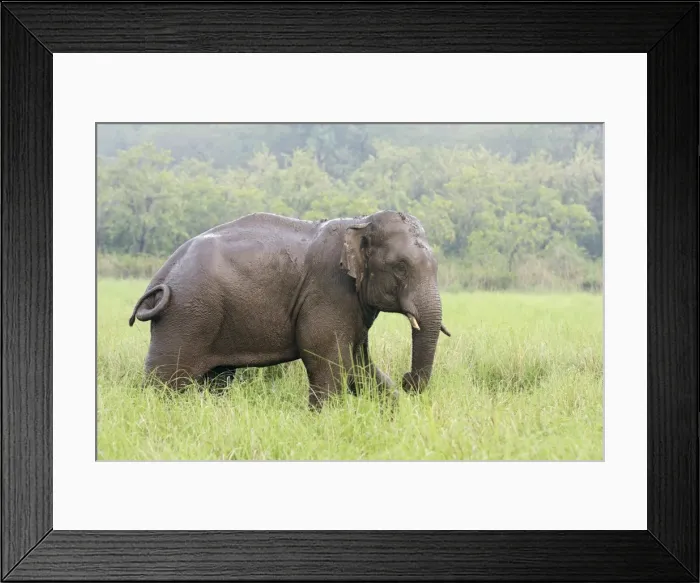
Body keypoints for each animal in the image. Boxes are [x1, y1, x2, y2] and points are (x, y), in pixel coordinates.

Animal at [128, 210, 450, 409]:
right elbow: (326, 356)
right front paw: (325, 421)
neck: (361, 220)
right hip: (187, 313)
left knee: (217, 378)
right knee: (165, 378)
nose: (407, 380)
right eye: (400, 267)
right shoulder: (328, 290)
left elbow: (360, 365)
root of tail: (164, 271)